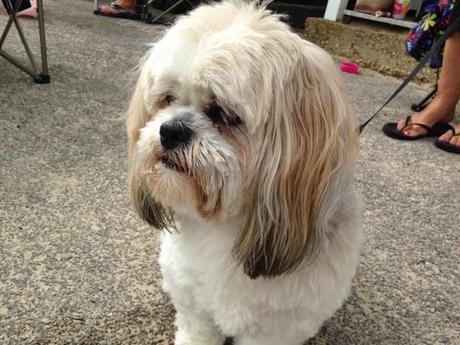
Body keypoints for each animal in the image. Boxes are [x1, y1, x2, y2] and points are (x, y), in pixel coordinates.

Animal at [126, 1, 362, 342]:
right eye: (168, 99)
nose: (171, 130)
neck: (225, 227)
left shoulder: (276, 330)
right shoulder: (193, 301)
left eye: (224, 114)